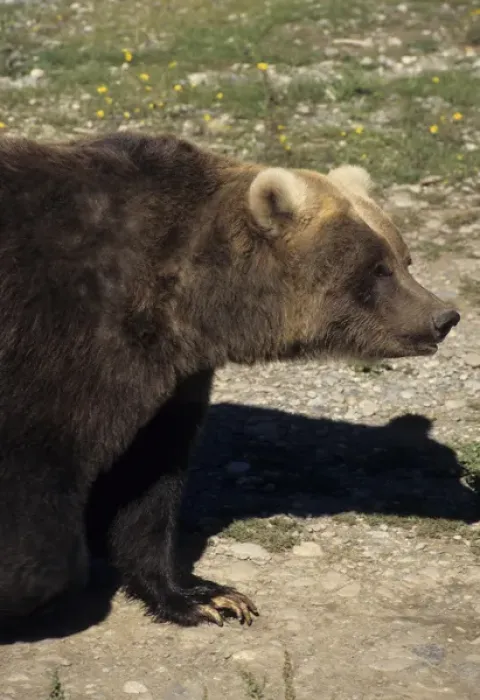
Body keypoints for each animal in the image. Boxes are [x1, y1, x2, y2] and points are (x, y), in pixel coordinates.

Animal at [0, 131, 460, 630]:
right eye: (377, 268)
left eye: (404, 258)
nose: (444, 317)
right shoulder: (61, 335)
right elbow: (39, 474)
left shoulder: (169, 374)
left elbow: (149, 475)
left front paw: (206, 596)